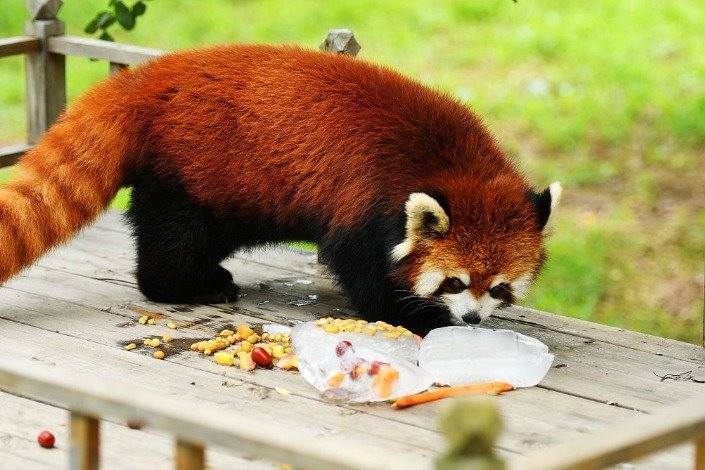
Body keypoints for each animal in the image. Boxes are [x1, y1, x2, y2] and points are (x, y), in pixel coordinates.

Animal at [0, 44, 560, 336]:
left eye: (499, 287)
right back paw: (193, 286)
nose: (471, 317)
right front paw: (417, 320)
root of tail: (148, 79)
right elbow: (363, 270)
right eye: (454, 282)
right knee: (174, 240)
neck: (450, 164)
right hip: (195, 174)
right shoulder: (365, 206)